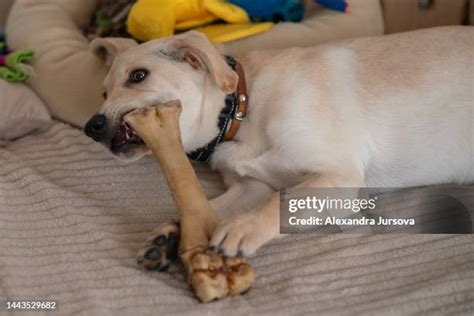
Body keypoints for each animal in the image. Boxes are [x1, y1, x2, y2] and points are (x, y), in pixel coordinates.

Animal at [85, 26, 474, 270]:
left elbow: (281, 200)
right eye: (102, 92)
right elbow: (212, 208)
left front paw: (244, 228)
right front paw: (169, 235)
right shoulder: (251, 186)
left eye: (138, 76)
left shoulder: (339, 178)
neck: (241, 110)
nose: (91, 127)